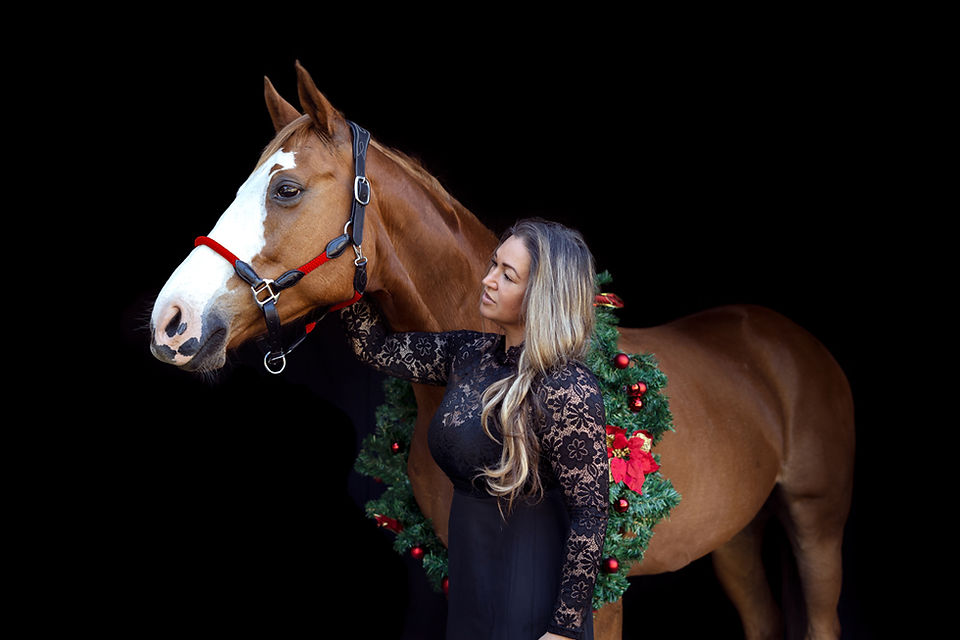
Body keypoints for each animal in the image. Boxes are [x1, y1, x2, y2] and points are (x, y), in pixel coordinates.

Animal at [149, 62, 855, 640]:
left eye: (286, 190)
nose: (171, 321)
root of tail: (784, 337)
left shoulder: (601, 599)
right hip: (736, 537)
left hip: (817, 523)